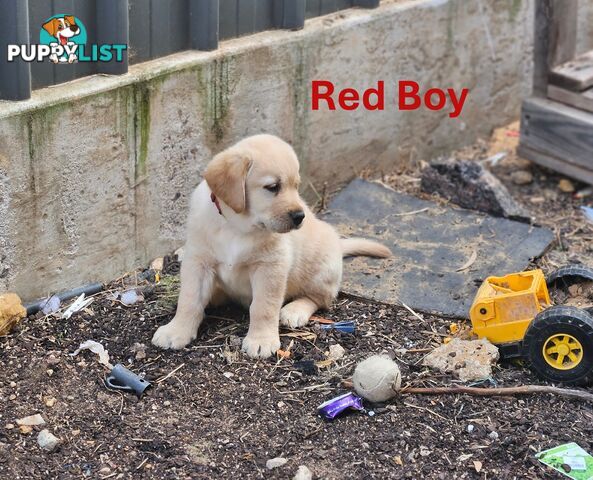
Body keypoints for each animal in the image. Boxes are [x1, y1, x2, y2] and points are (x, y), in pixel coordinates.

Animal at [151, 134, 388, 356]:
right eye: (273, 187)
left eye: (296, 186)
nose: (300, 216)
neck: (236, 226)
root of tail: (338, 246)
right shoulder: (198, 261)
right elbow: (189, 299)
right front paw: (176, 331)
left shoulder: (270, 267)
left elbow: (263, 306)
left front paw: (261, 340)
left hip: (322, 270)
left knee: (319, 299)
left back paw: (294, 310)